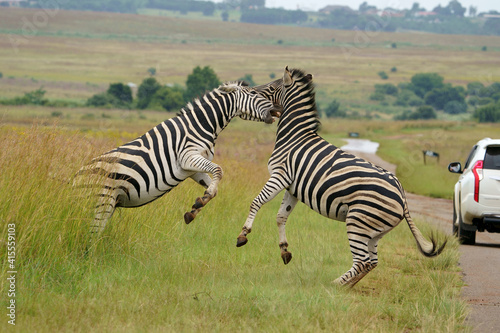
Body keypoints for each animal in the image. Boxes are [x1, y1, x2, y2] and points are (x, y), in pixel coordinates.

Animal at [76, 80, 284, 241]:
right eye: (254, 93)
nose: (278, 109)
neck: (201, 124)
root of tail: (75, 177)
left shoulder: (192, 167)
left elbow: (213, 187)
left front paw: (195, 208)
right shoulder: (188, 156)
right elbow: (218, 171)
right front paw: (200, 202)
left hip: (107, 204)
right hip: (101, 202)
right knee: (91, 235)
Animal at [236, 67, 448, 286]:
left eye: (270, 87)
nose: (249, 88)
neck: (294, 136)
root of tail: (403, 195)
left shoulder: (280, 175)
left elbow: (257, 201)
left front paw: (243, 234)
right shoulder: (292, 187)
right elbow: (281, 216)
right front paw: (284, 250)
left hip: (358, 222)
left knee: (362, 261)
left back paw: (334, 285)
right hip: (374, 231)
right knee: (372, 262)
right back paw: (346, 286)